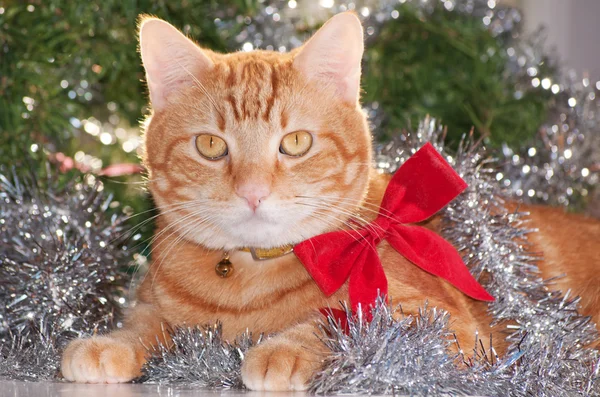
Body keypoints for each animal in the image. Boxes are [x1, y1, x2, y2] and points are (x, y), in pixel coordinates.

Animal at [62, 10, 600, 388]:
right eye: (211, 145)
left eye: (296, 142)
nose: (253, 192)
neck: (244, 287)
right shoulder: (153, 304)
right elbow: (143, 323)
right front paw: (108, 343)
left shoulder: (447, 325)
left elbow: (336, 322)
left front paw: (283, 348)